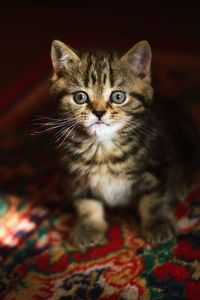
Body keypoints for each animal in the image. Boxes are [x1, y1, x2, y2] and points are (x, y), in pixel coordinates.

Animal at [49, 39, 199, 250]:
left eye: (118, 97)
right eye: (80, 97)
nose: (99, 112)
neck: (103, 149)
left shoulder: (154, 166)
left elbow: (152, 199)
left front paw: (157, 223)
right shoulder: (76, 177)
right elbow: (85, 202)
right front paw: (89, 226)